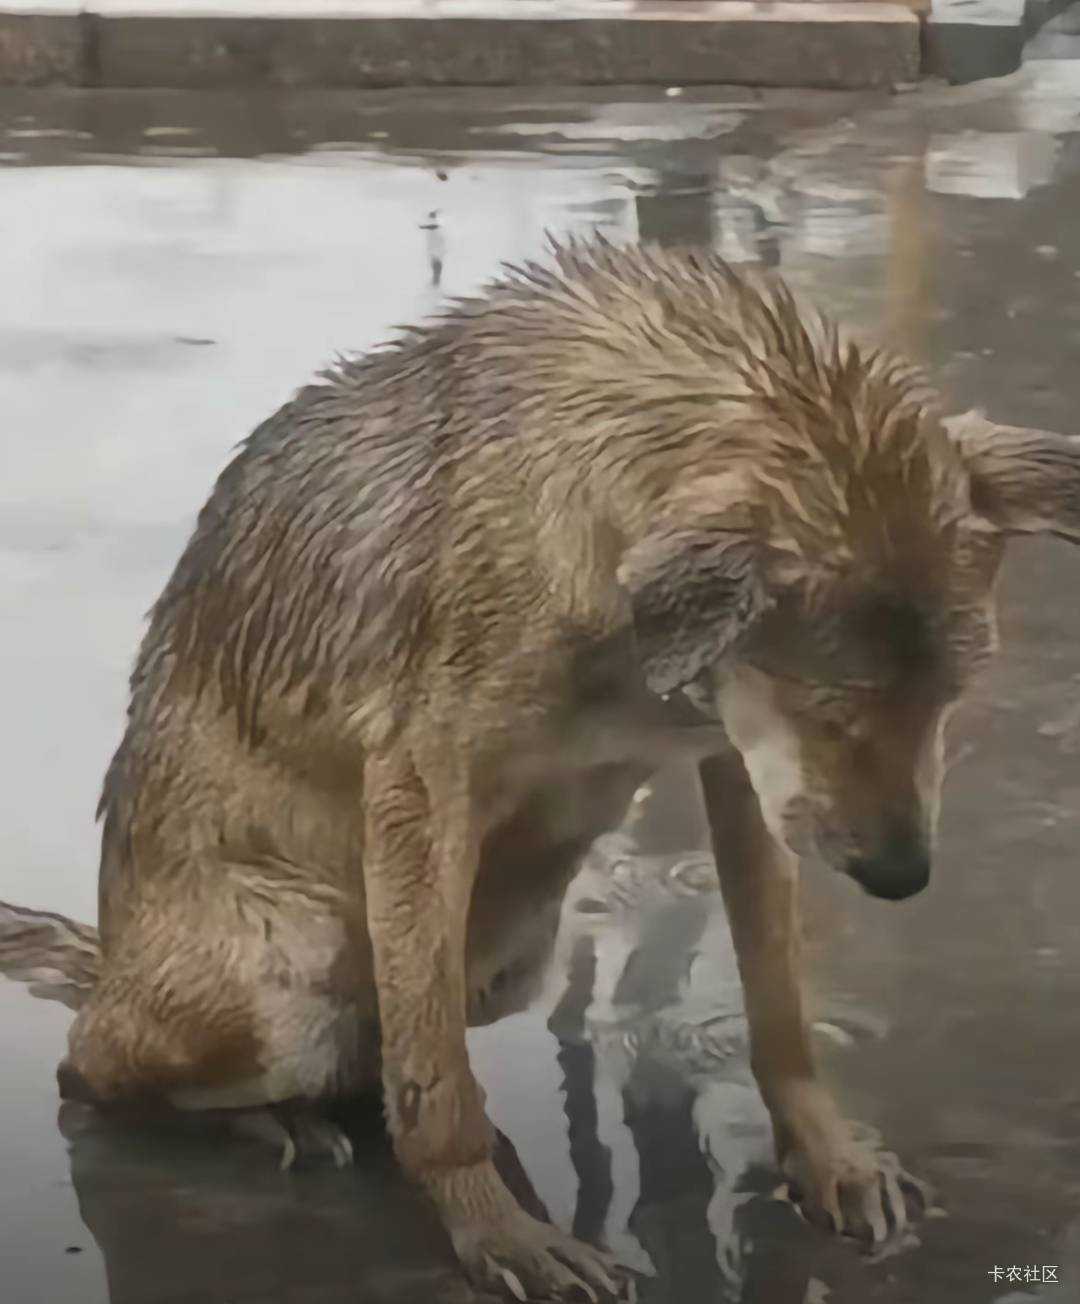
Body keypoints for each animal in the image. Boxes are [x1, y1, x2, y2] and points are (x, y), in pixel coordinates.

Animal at [2, 242, 1080, 1293]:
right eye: (833, 709)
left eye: (951, 699)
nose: (904, 879)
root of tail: (114, 964)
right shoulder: (421, 782)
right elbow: (439, 1087)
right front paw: (497, 1231)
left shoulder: (737, 773)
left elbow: (779, 1002)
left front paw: (829, 1156)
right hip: (290, 963)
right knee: (94, 1072)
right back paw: (270, 1119)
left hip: (513, 954)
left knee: (374, 1059)